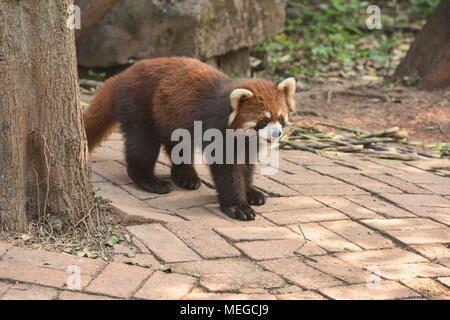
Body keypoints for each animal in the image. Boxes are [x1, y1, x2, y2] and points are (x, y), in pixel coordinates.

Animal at [83, 57, 298, 220]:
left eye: (280, 118)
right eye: (263, 120)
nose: (277, 133)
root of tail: (121, 76)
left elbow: (246, 168)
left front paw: (251, 192)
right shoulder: (217, 129)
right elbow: (227, 170)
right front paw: (238, 206)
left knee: (177, 146)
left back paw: (187, 176)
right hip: (140, 106)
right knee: (142, 146)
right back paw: (152, 182)